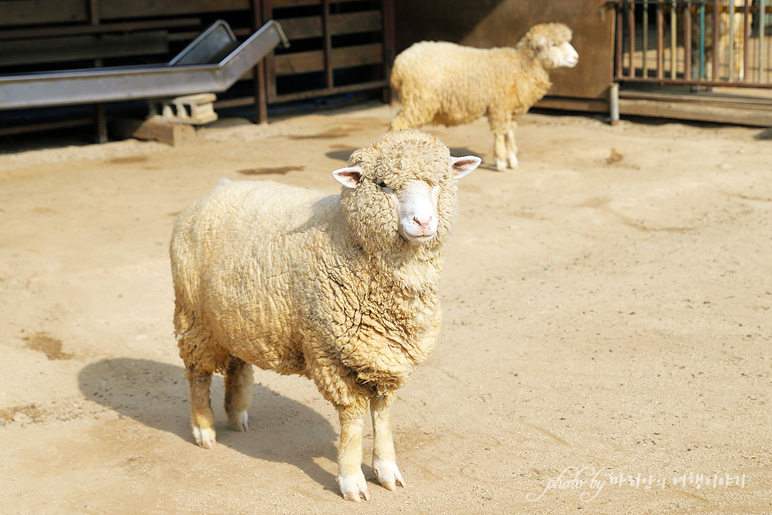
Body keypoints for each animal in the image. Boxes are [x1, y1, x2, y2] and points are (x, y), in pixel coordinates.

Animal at [172, 130, 480, 504]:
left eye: (440, 181)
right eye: (383, 185)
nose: (423, 223)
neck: (345, 235)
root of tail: (219, 187)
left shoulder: (385, 354)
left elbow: (383, 414)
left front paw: (386, 469)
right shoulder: (329, 353)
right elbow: (353, 419)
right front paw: (351, 481)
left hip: (235, 317)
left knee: (236, 362)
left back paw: (237, 413)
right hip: (194, 316)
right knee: (197, 373)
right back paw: (204, 427)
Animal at [392, 22, 580, 171]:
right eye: (554, 44)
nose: (576, 58)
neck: (521, 64)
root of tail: (399, 63)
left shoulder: (508, 108)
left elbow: (509, 133)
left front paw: (512, 159)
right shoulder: (500, 106)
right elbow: (500, 133)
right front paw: (501, 161)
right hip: (419, 100)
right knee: (398, 124)